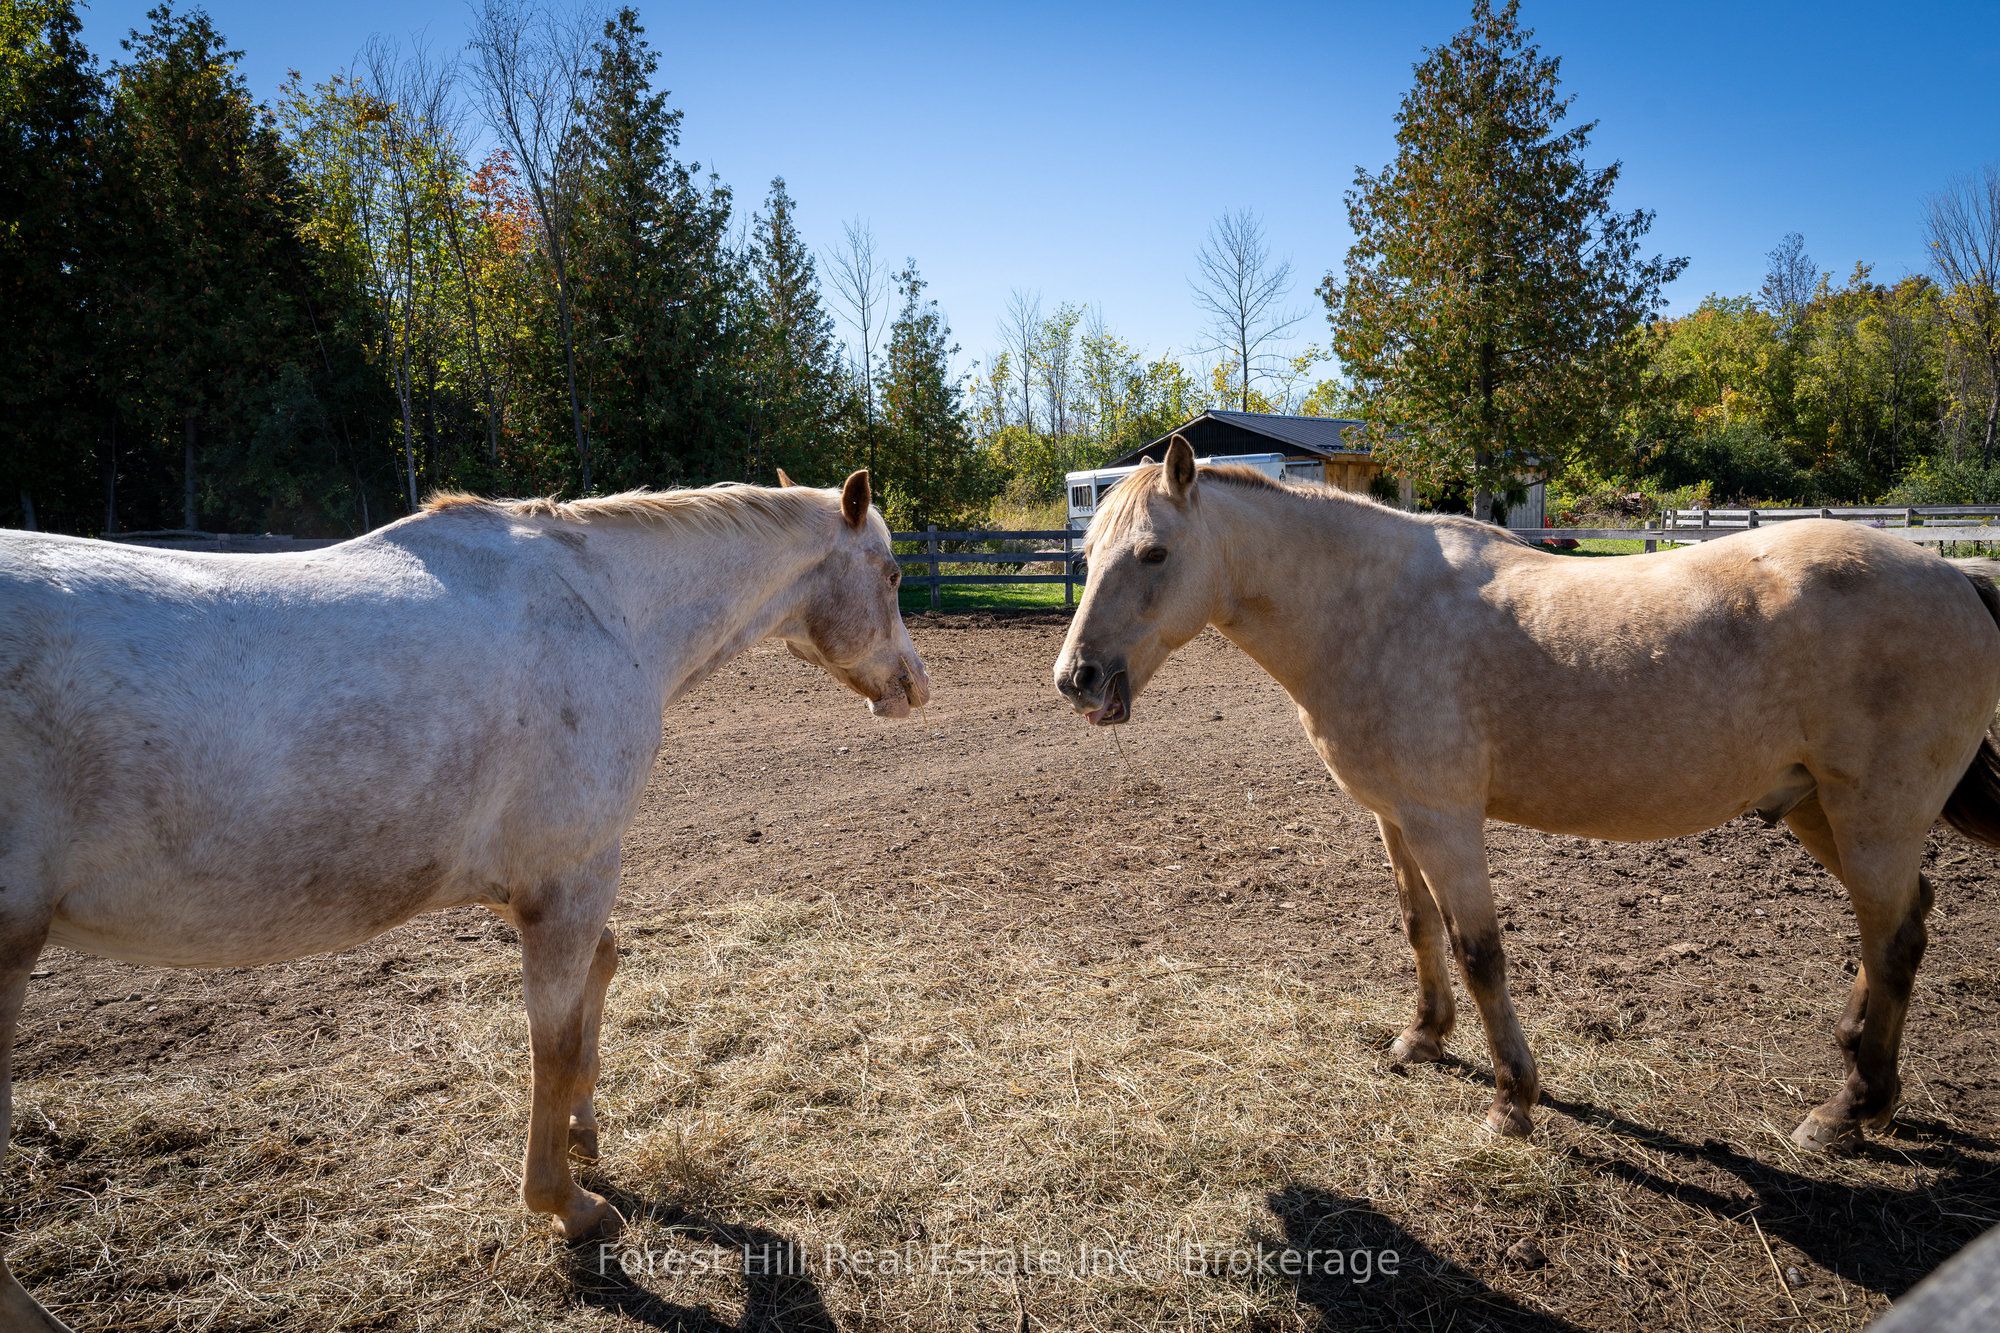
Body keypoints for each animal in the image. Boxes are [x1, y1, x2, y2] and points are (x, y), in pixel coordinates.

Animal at [0, 468, 927, 1332]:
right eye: (889, 574)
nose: (915, 685)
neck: (601, 608)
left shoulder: (519, 884)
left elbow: (601, 975)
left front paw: (585, 1126)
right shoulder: (572, 874)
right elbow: (553, 1043)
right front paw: (569, 1203)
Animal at [1054, 433, 2000, 1152]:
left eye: (1153, 553)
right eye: (1088, 554)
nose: (1076, 678)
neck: (1374, 609)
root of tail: (1958, 576)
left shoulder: (1446, 822)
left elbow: (1479, 952)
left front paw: (1512, 1099)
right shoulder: (1396, 817)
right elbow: (1419, 928)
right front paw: (1422, 1039)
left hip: (1873, 815)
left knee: (1894, 940)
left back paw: (1848, 1110)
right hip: (1818, 809)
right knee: (1901, 922)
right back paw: (1863, 1078)